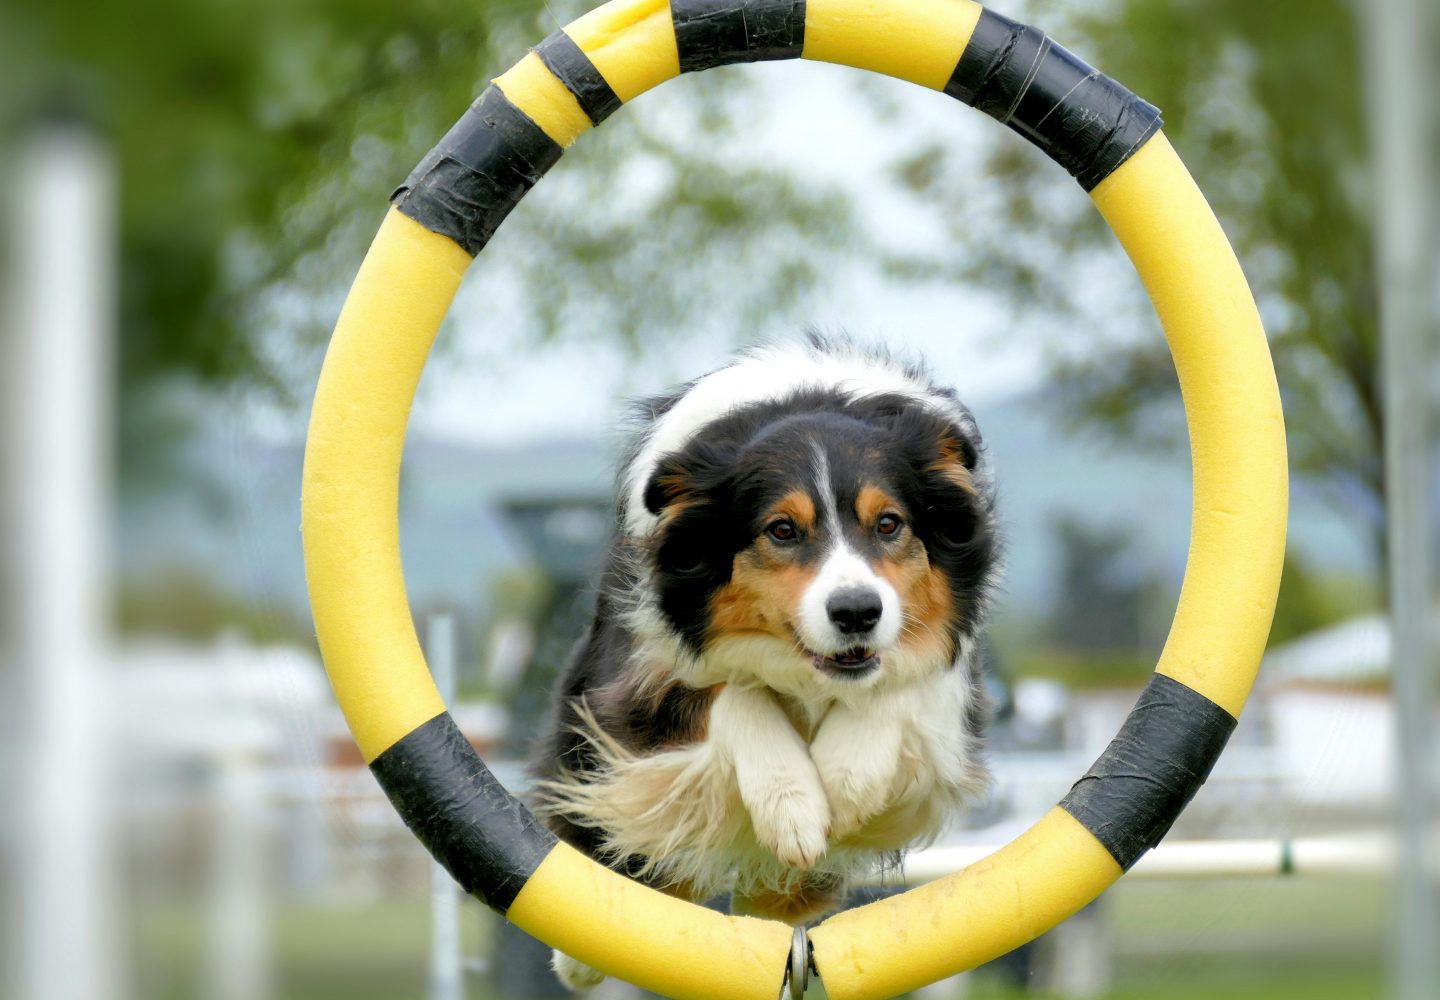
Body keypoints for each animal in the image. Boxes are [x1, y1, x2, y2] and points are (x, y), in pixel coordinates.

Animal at [532, 338, 1002, 997]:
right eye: (782, 530)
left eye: (889, 524)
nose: (857, 613)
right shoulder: (639, 674)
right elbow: (733, 692)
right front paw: (794, 806)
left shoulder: (949, 684)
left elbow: (903, 682)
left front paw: (843, 780)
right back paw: (581, 955)